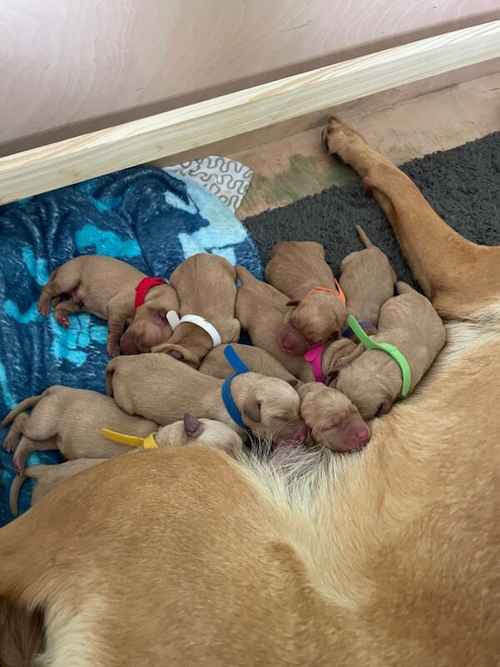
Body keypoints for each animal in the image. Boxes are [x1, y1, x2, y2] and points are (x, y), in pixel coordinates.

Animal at [1, 384, 244, 472]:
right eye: (229, 451)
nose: (245, 460)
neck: (160, 439)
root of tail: (54, 389)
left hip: (52, 439)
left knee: (30, 442)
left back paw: (19, 460)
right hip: (44, 424)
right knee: (22, 419)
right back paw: (10, 441)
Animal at [39, 258, 180, 360]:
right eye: (138, 339)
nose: (125, 353)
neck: (151, 293)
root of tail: (62, 266)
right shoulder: (117, 308)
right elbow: (116, 331)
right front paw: (114, 348)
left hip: (78, 303)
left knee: (61, 306)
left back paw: (62, 318)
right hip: (68, 279)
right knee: (48, 289)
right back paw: (43, 305)